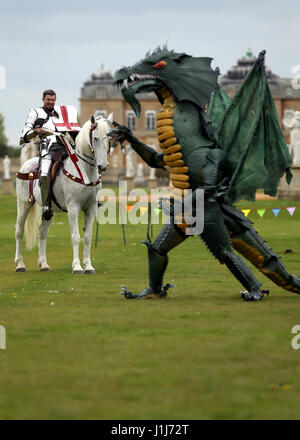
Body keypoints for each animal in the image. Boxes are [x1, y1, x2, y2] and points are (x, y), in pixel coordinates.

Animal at [14, 112, 112, 276]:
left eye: (109, 139)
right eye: (96, 138)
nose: (103, 166)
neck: (84, 170)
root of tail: (25, 166)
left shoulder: (91, 207)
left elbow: (87, 237)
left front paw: (88, 266)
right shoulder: (73, 208)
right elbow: (75, 237)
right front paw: (77, 267)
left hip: (48, 211)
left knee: (42, 233)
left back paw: (44, 264)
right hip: (24, 204)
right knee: (19, 231)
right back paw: (20, 264)